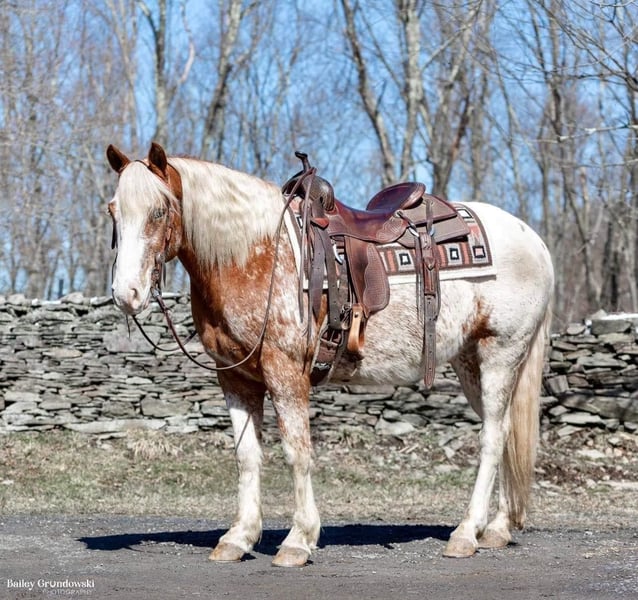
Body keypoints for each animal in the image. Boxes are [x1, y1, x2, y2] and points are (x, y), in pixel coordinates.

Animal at [106, 142, 556, 568]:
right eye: (113, 211)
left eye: (159, 211)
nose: (126, 294)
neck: (256, 254)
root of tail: (533, 239)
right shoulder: (235, 376)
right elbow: (247, 456)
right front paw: (238, 537)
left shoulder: (285, 371)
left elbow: (297, 452)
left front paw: (298, 540)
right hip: (469, 362)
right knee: (506, 433)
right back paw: (496, 528)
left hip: (500, 354)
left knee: (492, 438)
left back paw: (466, 534)